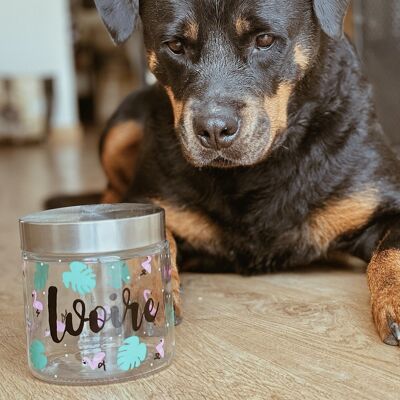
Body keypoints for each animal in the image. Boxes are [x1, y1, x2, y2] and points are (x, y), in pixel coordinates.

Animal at [94, 0, 400, 346]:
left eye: (264, 39)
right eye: (175, 45)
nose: (214, 128)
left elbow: (391, 251)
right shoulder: (150, 200)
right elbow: (152, 239)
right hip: (122, 128)